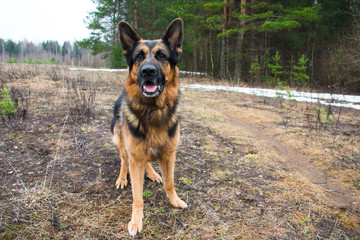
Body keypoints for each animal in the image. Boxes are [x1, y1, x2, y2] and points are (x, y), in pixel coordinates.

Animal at [111, 18, 187, 236]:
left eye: (162, 56)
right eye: (139, 56)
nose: (148, 71)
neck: (153, 110)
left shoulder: (169, 155)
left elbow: (170, 183)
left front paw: (174, 200)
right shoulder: (135, 157)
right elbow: (137, 196)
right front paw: (136, 221)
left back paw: (153, 173)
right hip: (122, 144)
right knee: (123, 161)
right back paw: (122, 178)